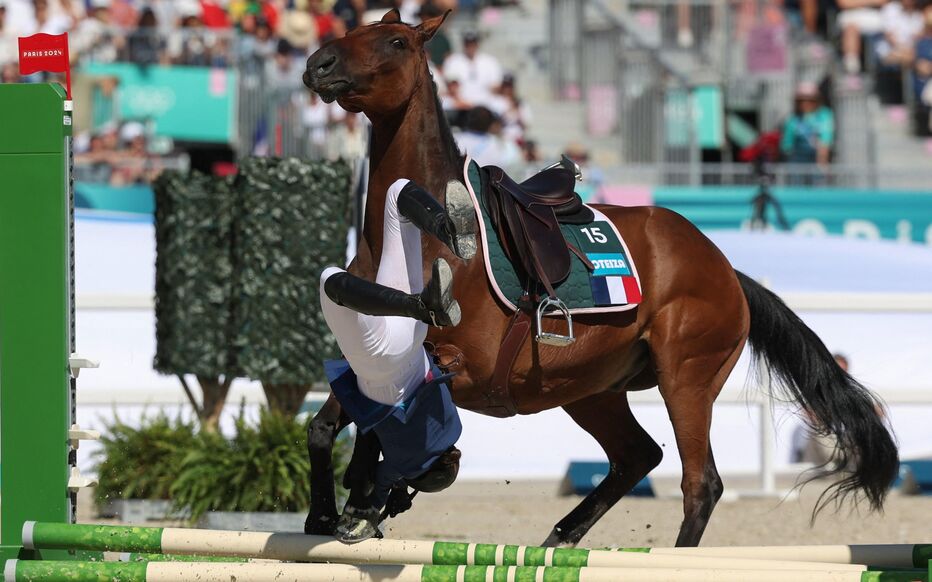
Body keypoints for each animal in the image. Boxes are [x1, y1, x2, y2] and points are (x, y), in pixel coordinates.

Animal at [302, 8, 900, 548]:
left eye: (396, 41)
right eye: (351, 28)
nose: (317, 63)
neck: (419, 233)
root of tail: (723, 265)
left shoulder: (457, 361)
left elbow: (384, 419)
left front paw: (374, 498)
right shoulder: (374, 360)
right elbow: (329, 423)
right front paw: (335, 510)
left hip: (685, 379)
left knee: (699, 483)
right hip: (589, 389)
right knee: (638, 455)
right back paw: (559, 537)